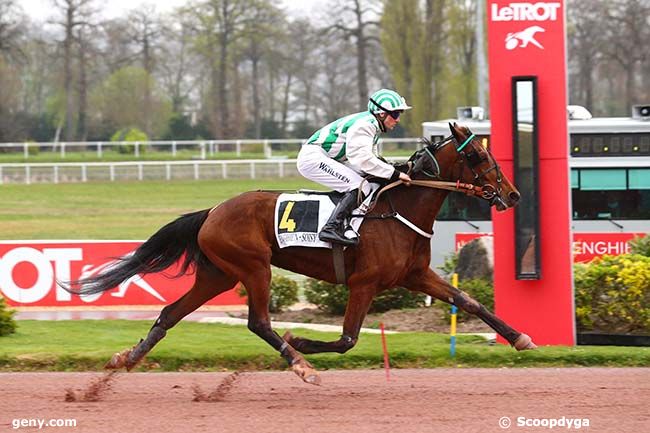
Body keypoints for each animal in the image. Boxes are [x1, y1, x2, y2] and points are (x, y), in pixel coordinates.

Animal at [67, 122, 536, 384]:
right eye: (478, 155)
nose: (512, 195)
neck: (398, 209)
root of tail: (212, 212)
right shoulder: (364, 283)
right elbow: (347, 339)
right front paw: (303, 343)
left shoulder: (414, 275)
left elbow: (469, 301)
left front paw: (519, 337)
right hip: (254, 267)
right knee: (258, 322)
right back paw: (300, 364)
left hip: (219, 274)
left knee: (170, 313)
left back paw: (126, 358)